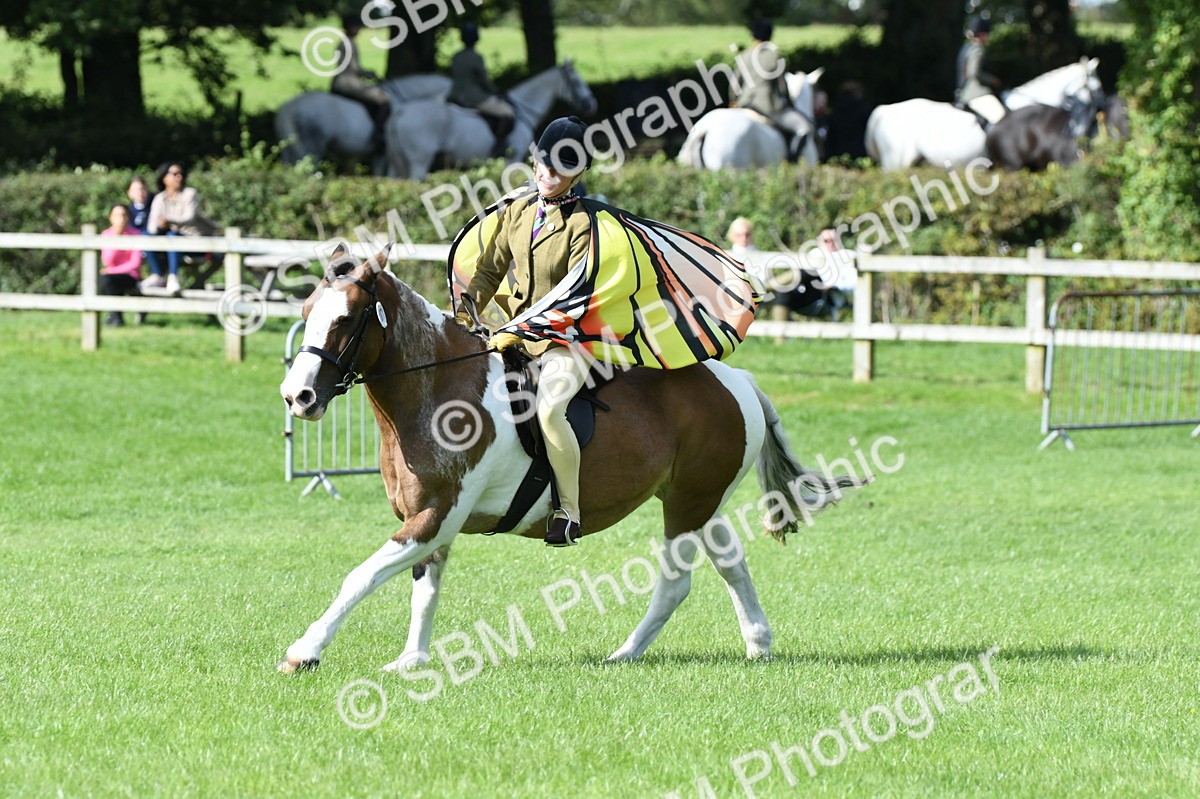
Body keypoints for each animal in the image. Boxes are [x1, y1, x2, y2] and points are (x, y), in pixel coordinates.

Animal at [275, 248, 859, 673]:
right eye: (304, 314)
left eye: (346, 318)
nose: (296, 396)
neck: (439, 388)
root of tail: (735, 378)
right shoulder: (427, 520)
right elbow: (425, 588)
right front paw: (412, 660)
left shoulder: (436, 516)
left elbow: (362, 576)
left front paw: (305, 650)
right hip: (699, 502)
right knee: (730, 563)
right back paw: (756, 644)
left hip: (687, 506)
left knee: (676, 582)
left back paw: (624, 654)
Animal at [385, 62, 598, 181]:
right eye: (576, 81)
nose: (591, 105)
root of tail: (401, 110)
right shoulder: (512, 158)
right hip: (419, 161)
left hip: (398, 163)